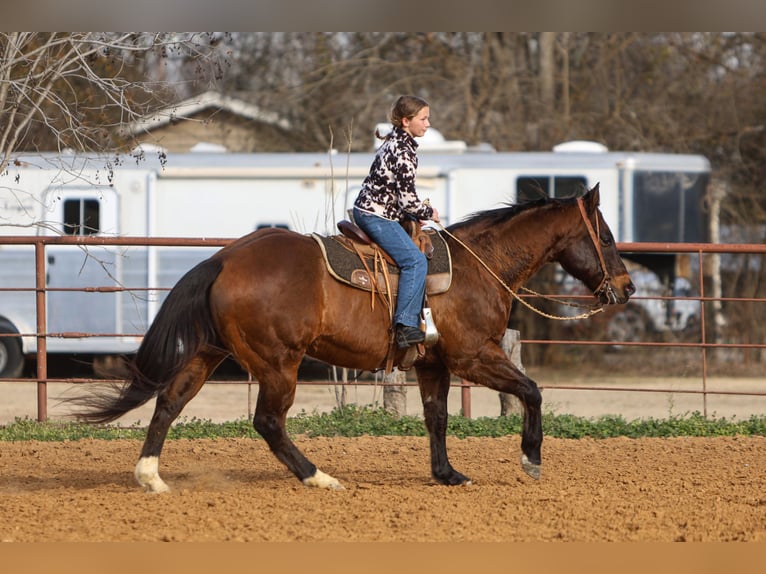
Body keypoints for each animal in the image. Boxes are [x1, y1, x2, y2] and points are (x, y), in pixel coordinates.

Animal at [70, 184, 636, 496]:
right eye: (606, 237)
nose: (627, 288)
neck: (481, 268)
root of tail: (224, 259)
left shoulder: (433, 365)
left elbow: (436, 419)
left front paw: (447, 474)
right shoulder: (473, 356)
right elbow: (531, 390)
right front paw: (531, 459)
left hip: (211, 354)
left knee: (169, 402)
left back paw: (151, 477)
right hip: (279, 363)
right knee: (268, 422)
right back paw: (319, 478)